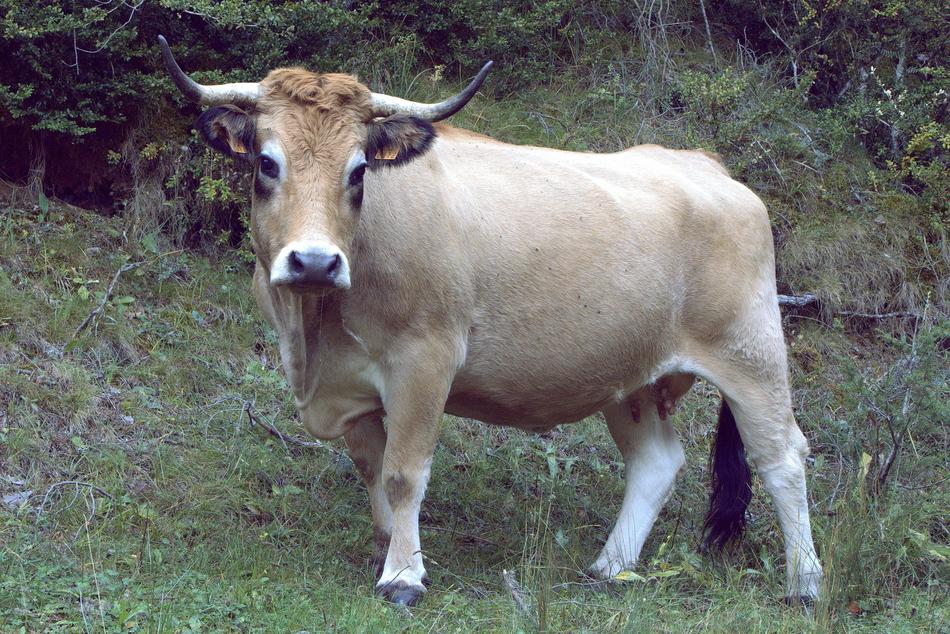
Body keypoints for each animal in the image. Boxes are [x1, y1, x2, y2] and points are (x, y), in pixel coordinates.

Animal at [159, 35, 823, 607]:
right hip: (631, 376)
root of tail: (708, 166)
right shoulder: (353, 387)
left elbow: (403, 473)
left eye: (359, 170)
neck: (313, 331)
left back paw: (804, 583)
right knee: (656, 464)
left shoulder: (424, 361)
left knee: (783, 458)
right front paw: (386, 550)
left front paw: (403, 575)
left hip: (751, 354)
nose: (316, 260)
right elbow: (373, 470)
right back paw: (609, 567)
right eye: (268, 164)